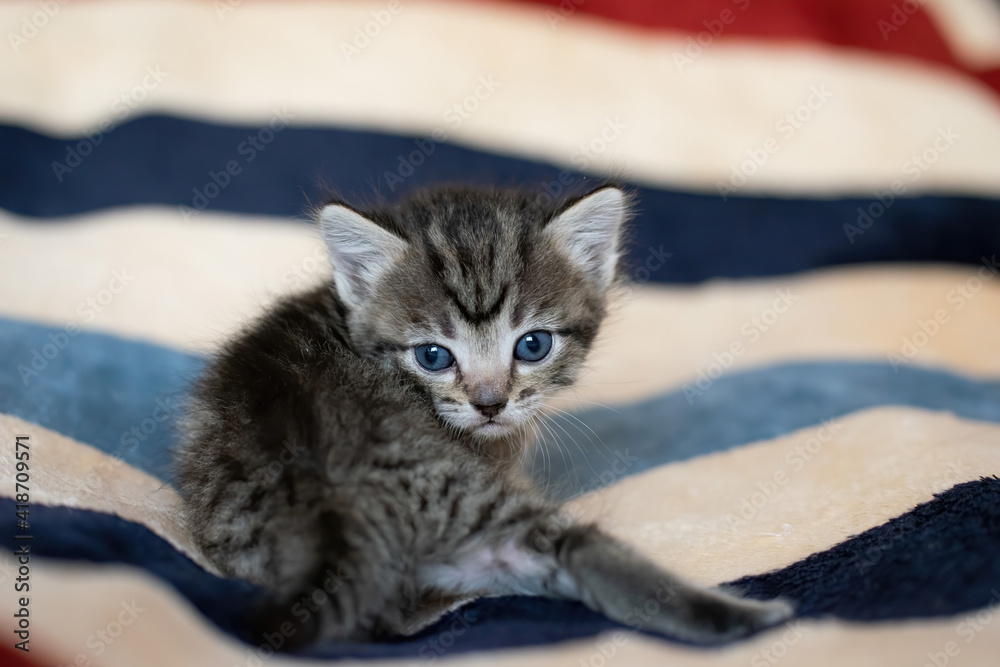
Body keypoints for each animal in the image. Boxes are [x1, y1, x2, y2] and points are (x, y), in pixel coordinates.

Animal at [176, 183, 792, 648]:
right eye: (432, 356)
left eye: (533, 346)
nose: (490, 403)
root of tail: (329, 493)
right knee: (578, 544)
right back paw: (749, 616)